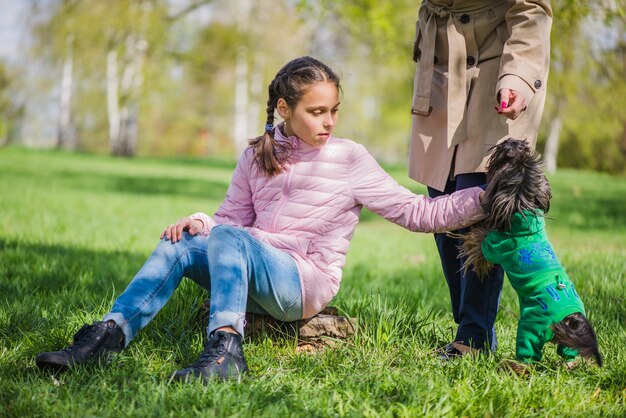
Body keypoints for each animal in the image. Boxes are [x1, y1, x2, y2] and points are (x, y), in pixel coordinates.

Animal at [458, 138, 600, 370]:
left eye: (504, 153)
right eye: (521, 148)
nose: (510, 140)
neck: (523, 207)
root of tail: (569, 318)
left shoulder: (492, 246)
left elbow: (478, 241)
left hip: (530, 329)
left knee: (529, 358)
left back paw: (512, 366)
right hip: (566, 342)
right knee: (572, 355)